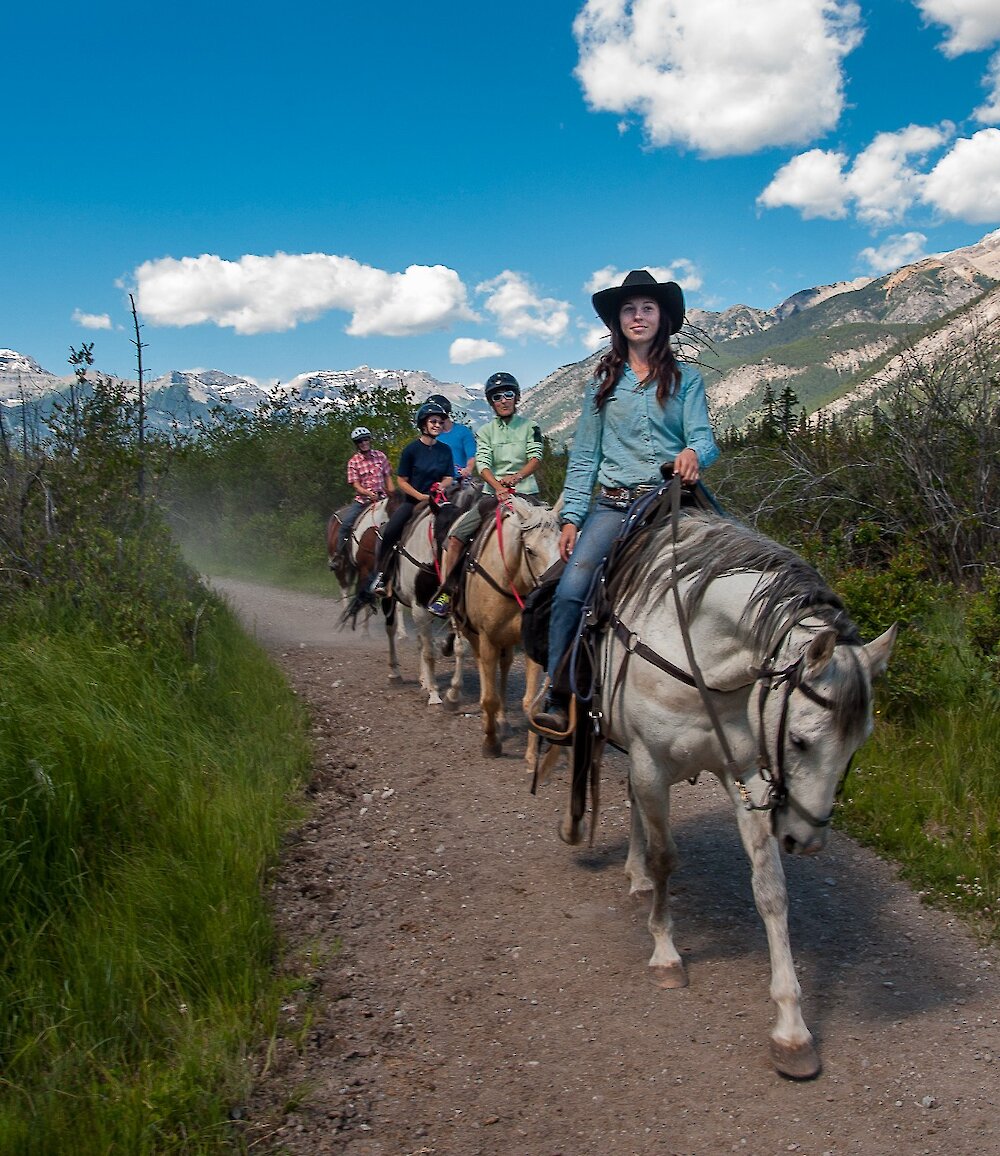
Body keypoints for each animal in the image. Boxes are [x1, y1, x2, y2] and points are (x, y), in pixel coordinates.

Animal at [561, 506, 897, 1082]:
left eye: (860, 744)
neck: (701, 656)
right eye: (799, 739)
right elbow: (666, 857)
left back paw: (635, 876)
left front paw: (791, 1029)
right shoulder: (651, 762)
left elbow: (770, 889)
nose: (807, 841)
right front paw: (666, 953)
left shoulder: (745, 774)